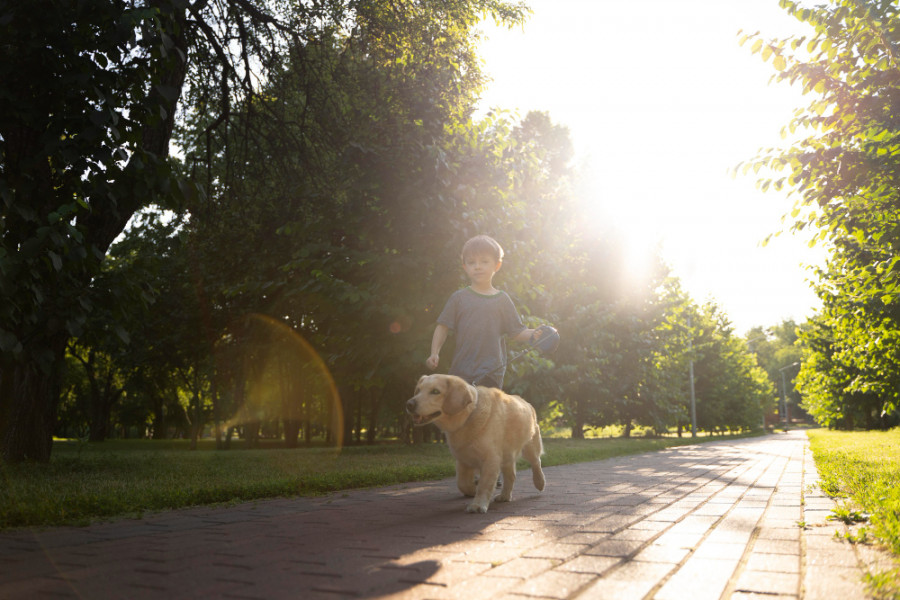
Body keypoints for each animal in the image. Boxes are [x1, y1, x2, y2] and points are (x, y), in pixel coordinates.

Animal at [406, 376, 544, 510]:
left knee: (536, 463)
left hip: (530, 446)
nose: (409, 404)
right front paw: (472, 491)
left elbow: (484, 484)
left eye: (435, 391)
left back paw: (540, 482)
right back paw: (504, 496)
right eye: (418, 390)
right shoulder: (463, 458)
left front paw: (478, 505)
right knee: (511, 475)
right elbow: (462, 483)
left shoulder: (491, 458)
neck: (469, 416)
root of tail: (526, 402)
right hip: (507, 454)